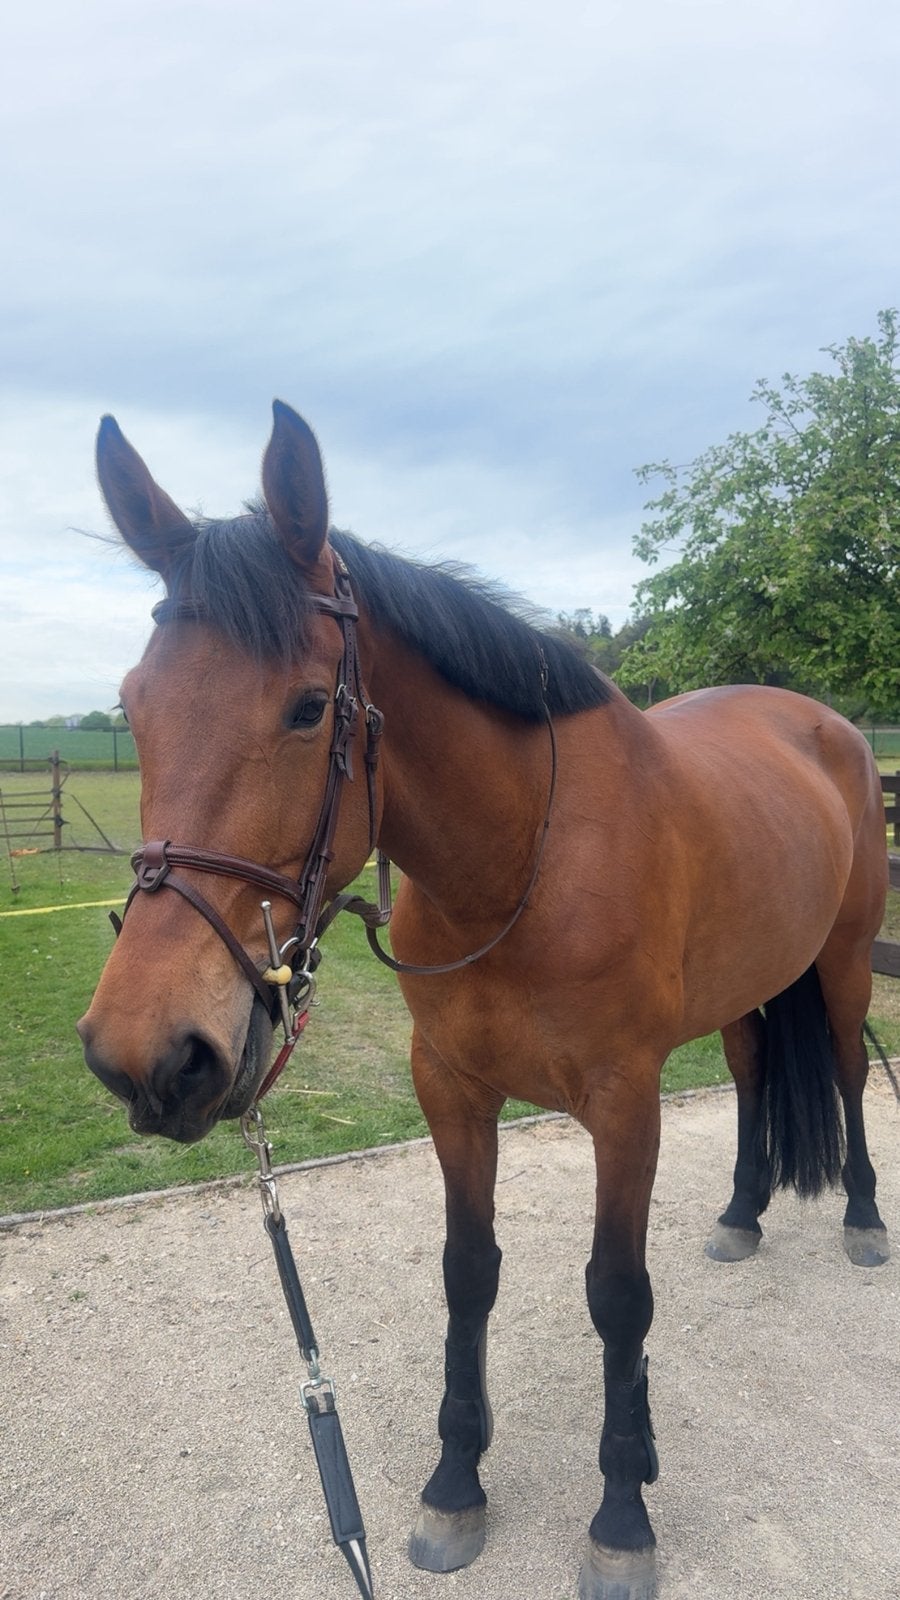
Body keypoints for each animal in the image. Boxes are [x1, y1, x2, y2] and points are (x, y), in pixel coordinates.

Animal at [79, 401, 891, 1600]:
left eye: (309, 708)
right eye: (134, 706)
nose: (147, 1054)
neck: (523, 863)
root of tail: (829, 728)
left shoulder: (625, 1102)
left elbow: (617, 1292)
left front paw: (621, 1513)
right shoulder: (453, 1090)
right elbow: (469, 1273)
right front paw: (455, 1483)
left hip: (836, 963)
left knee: (841, 1064)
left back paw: (864, 1219)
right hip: (747, 987)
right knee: (752, 1077)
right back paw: (743, 1212)